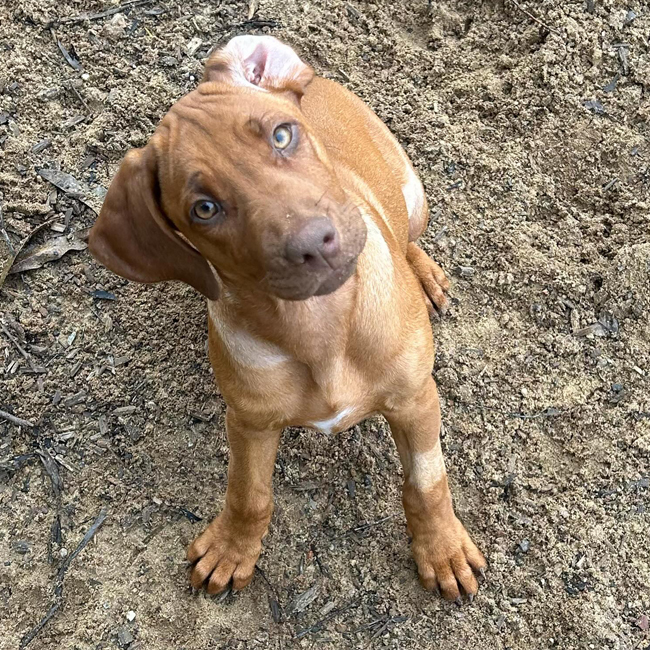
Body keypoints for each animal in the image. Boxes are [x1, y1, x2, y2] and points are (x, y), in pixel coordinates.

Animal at [89, 35, 486, 602]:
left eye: (282, 135)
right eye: (204, 209)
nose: (313, 244)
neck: (319, 326)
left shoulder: (415, 399)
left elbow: (427, 481)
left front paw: (443, 549)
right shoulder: (249, 421)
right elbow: (249, 494)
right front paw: (232, 547)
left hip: (412, 196)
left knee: (408, 234)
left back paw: (426, 275)